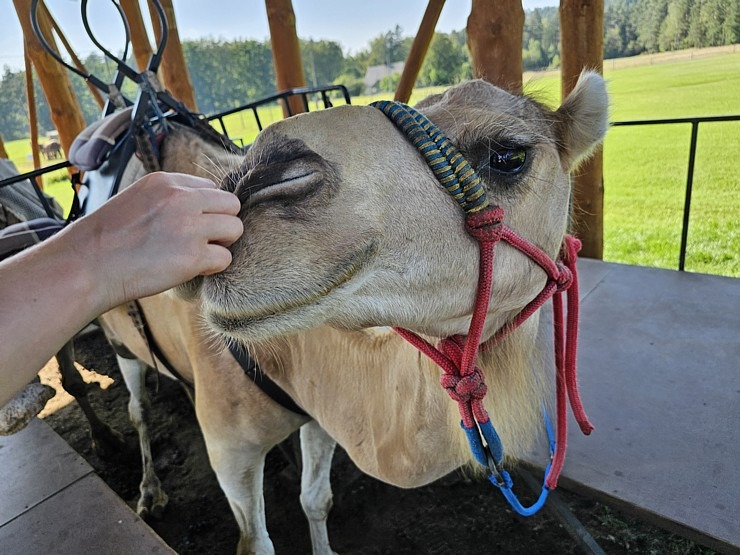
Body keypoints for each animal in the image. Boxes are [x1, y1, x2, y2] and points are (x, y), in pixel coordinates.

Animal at [98, 70, 608, 552]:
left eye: (508, 156)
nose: (256, 179)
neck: (282, 357)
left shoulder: (318, 411)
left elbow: (316, 499)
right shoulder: (230, 448)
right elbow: (255, 541)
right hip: (120, 343)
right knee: (138, 408)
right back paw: (148, 493)